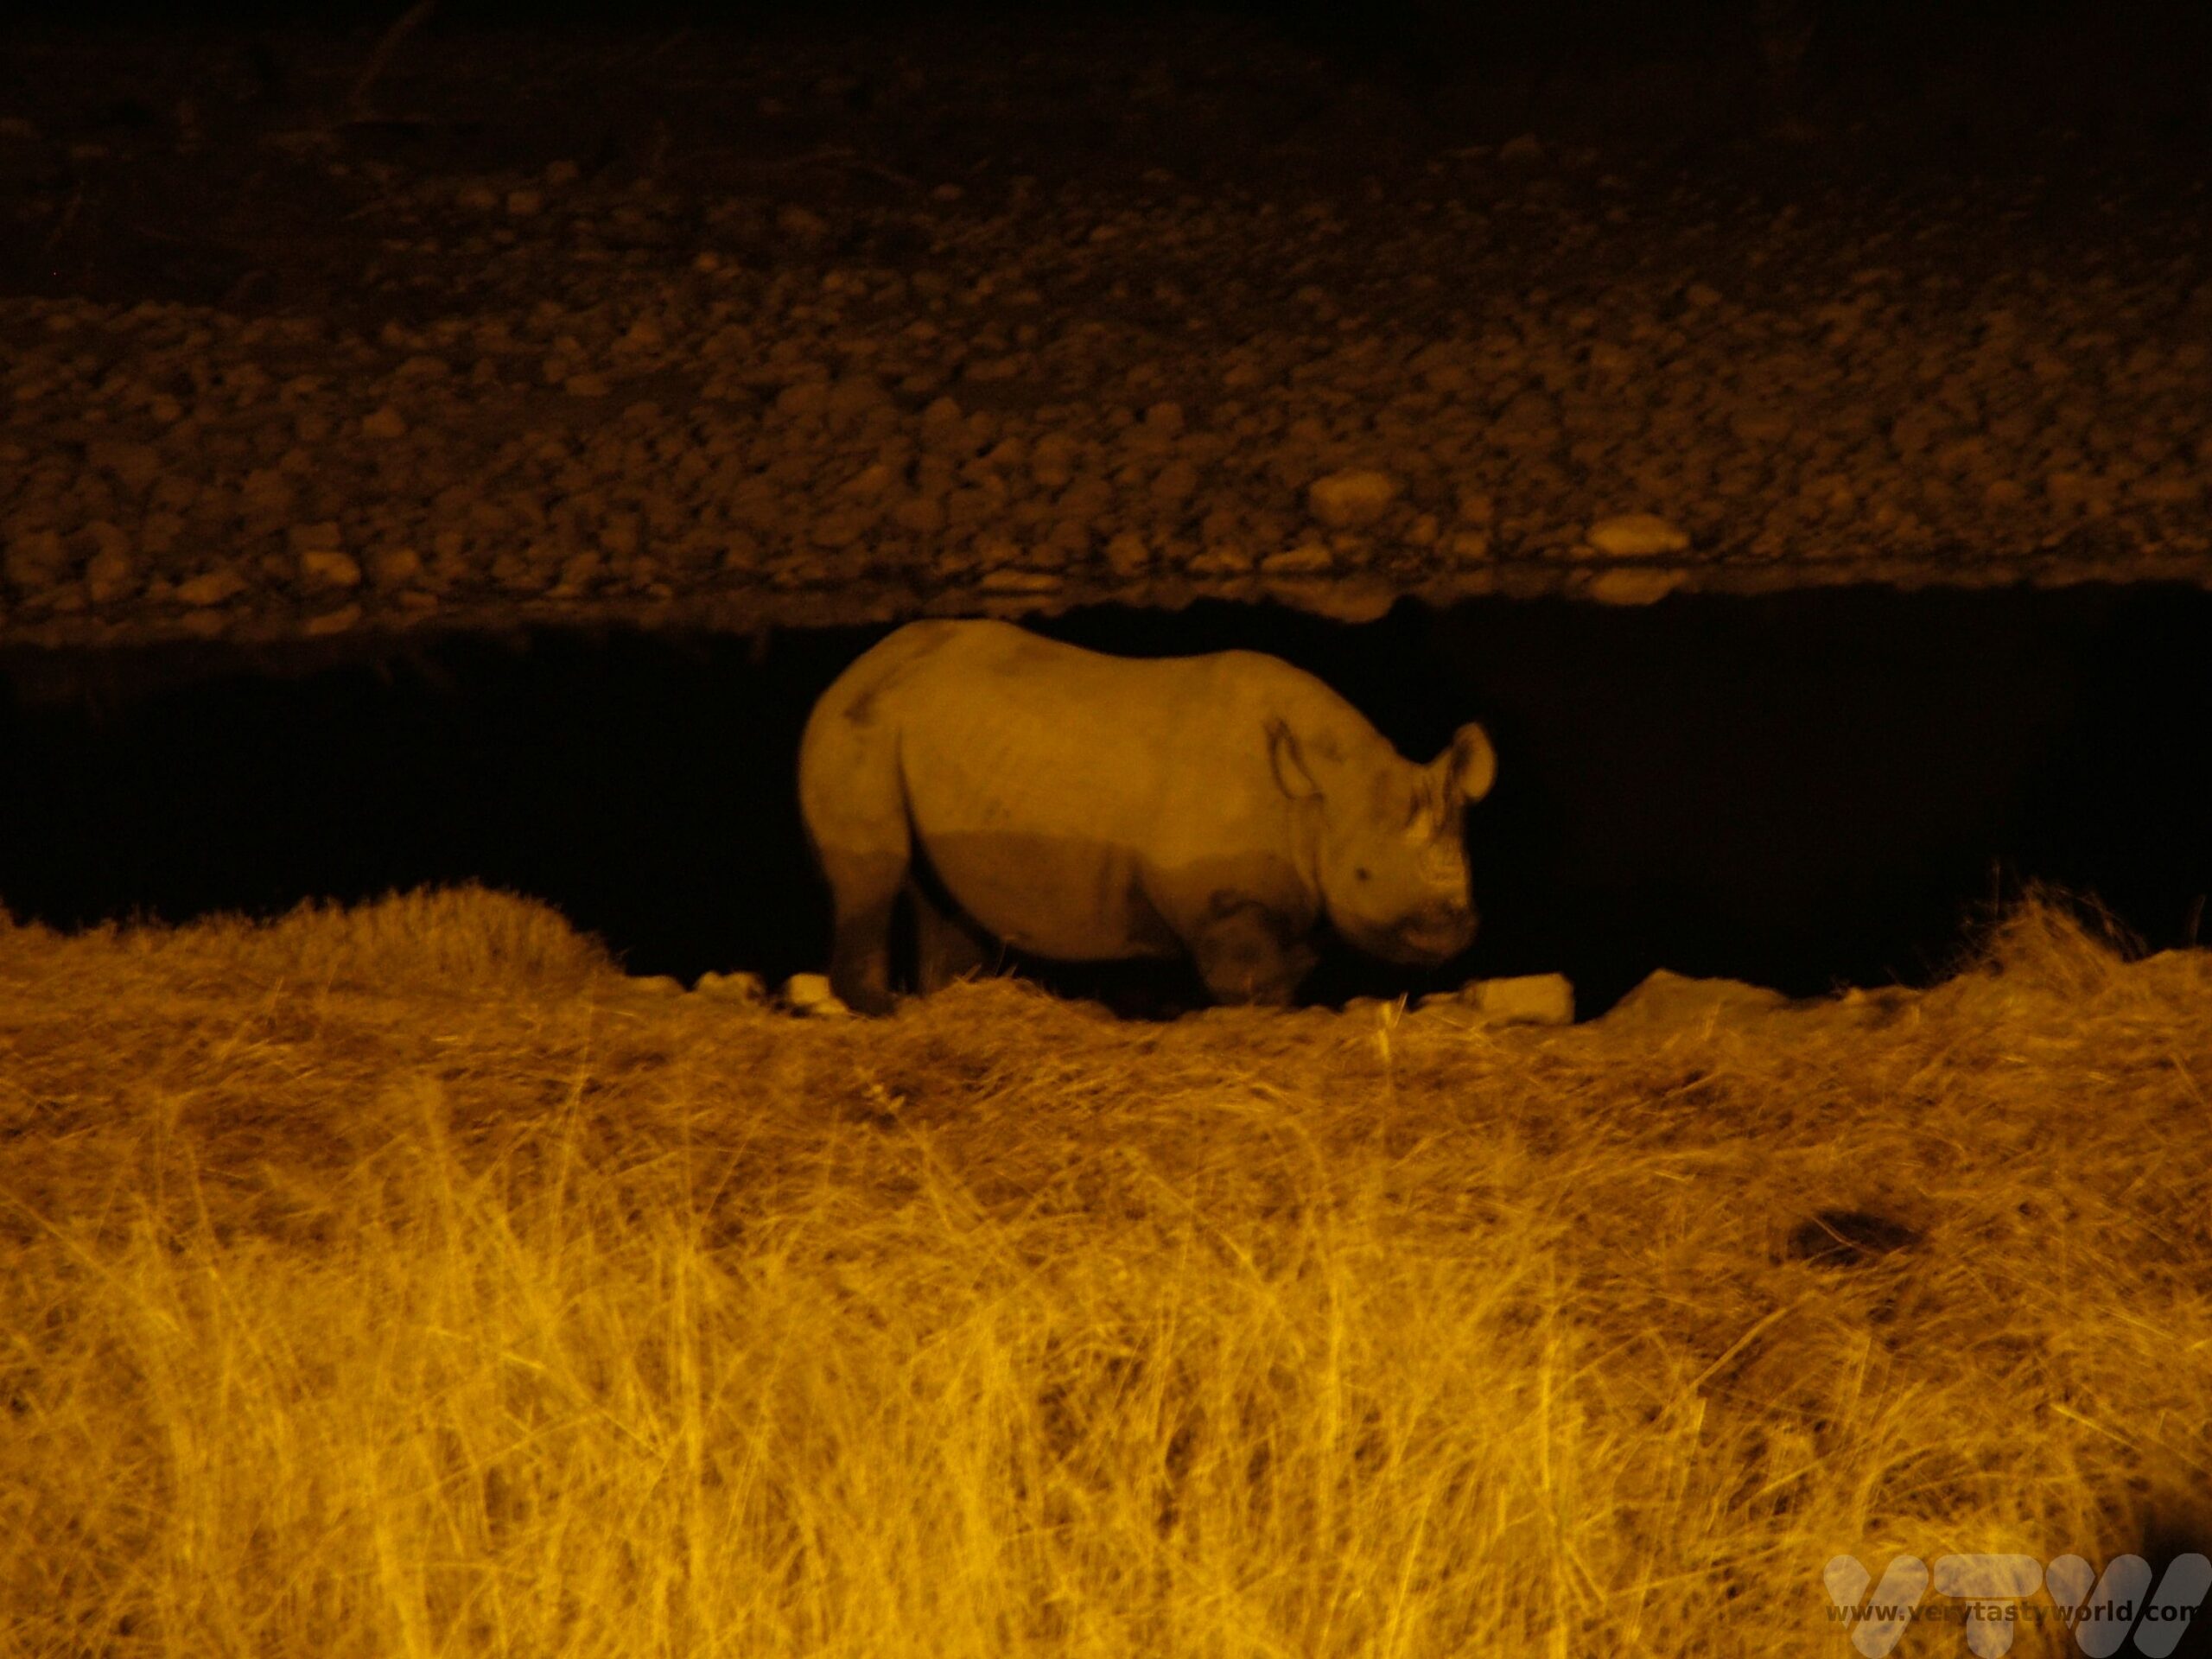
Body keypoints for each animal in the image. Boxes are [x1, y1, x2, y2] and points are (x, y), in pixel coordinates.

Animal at [797, 619, 1497, 1014]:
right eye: (1361, 876)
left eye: (1469, 867)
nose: (1446, 933)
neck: (1318, 796)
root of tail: (856, 664)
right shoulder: (1222, 901)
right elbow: (1250, 982)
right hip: (858, 726)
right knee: (875, 871)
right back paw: (882, 1009)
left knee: (945, 898)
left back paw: (952, 1000)